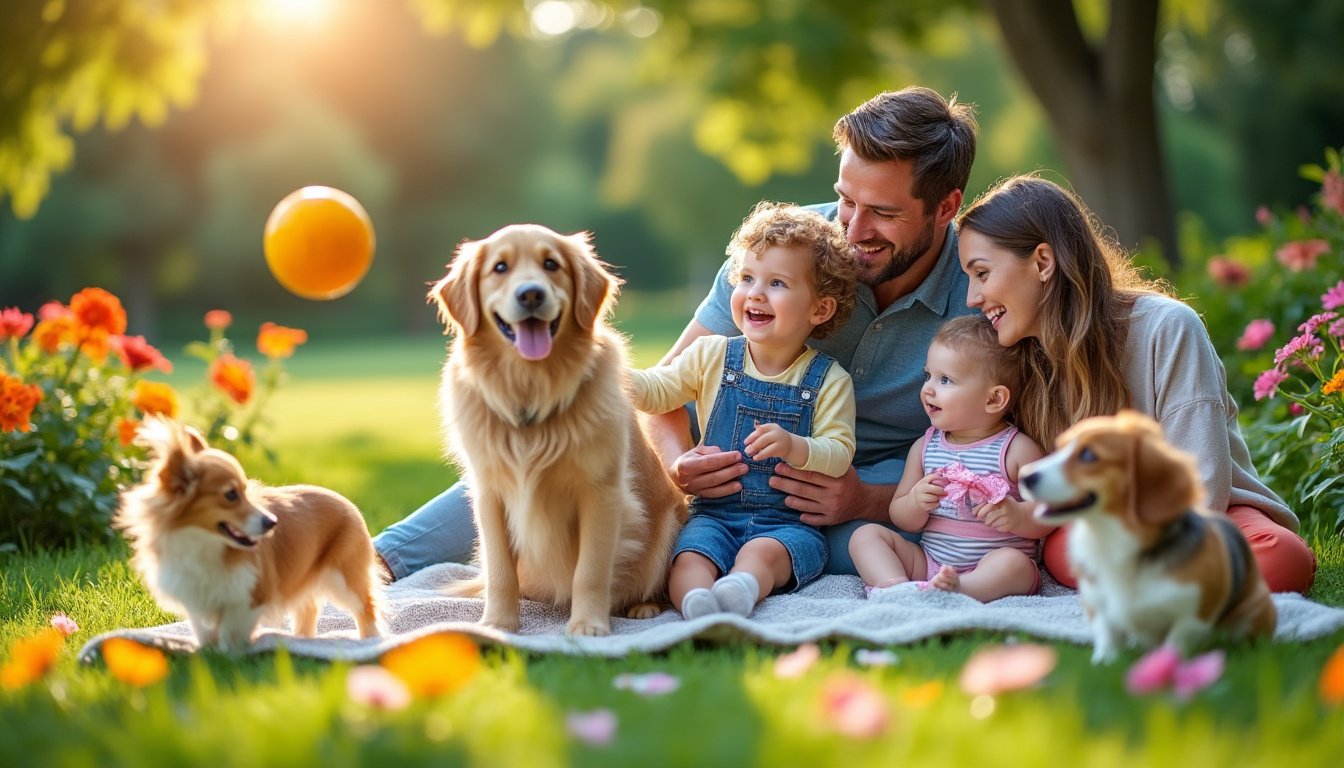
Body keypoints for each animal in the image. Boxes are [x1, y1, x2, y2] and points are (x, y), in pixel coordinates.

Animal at [114, 416, 384, 650]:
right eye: (231, 494)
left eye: (245, 491)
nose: (272, 522)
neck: (204, 545)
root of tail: (347, 502)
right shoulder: (195, 599)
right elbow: (204, 631)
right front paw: (205, 654)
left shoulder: (249, 597)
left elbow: (231, 631)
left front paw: (230, 655)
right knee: (308, 608)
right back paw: (301, 640)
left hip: (343, 578)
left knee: (365, 607)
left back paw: (370, 640)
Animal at [432, 221, 688, 637]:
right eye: (499, 267)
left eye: (551, 264)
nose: (531, 294)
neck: (532, 390)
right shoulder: (489, 494)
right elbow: (500, 571)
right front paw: (498, 624)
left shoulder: (601, 493)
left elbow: (590, 571)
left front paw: (587, 626)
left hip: (668, 524)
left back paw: (643, 607)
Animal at [1021, 411, 1274, 664]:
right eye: (1060, 448)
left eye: (1089, 455)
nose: (1024, 475)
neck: (1115, 541)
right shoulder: (1099, 605)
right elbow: (1107, 637)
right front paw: (1104, 661)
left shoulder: (1195, 614)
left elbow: (1175, 643)